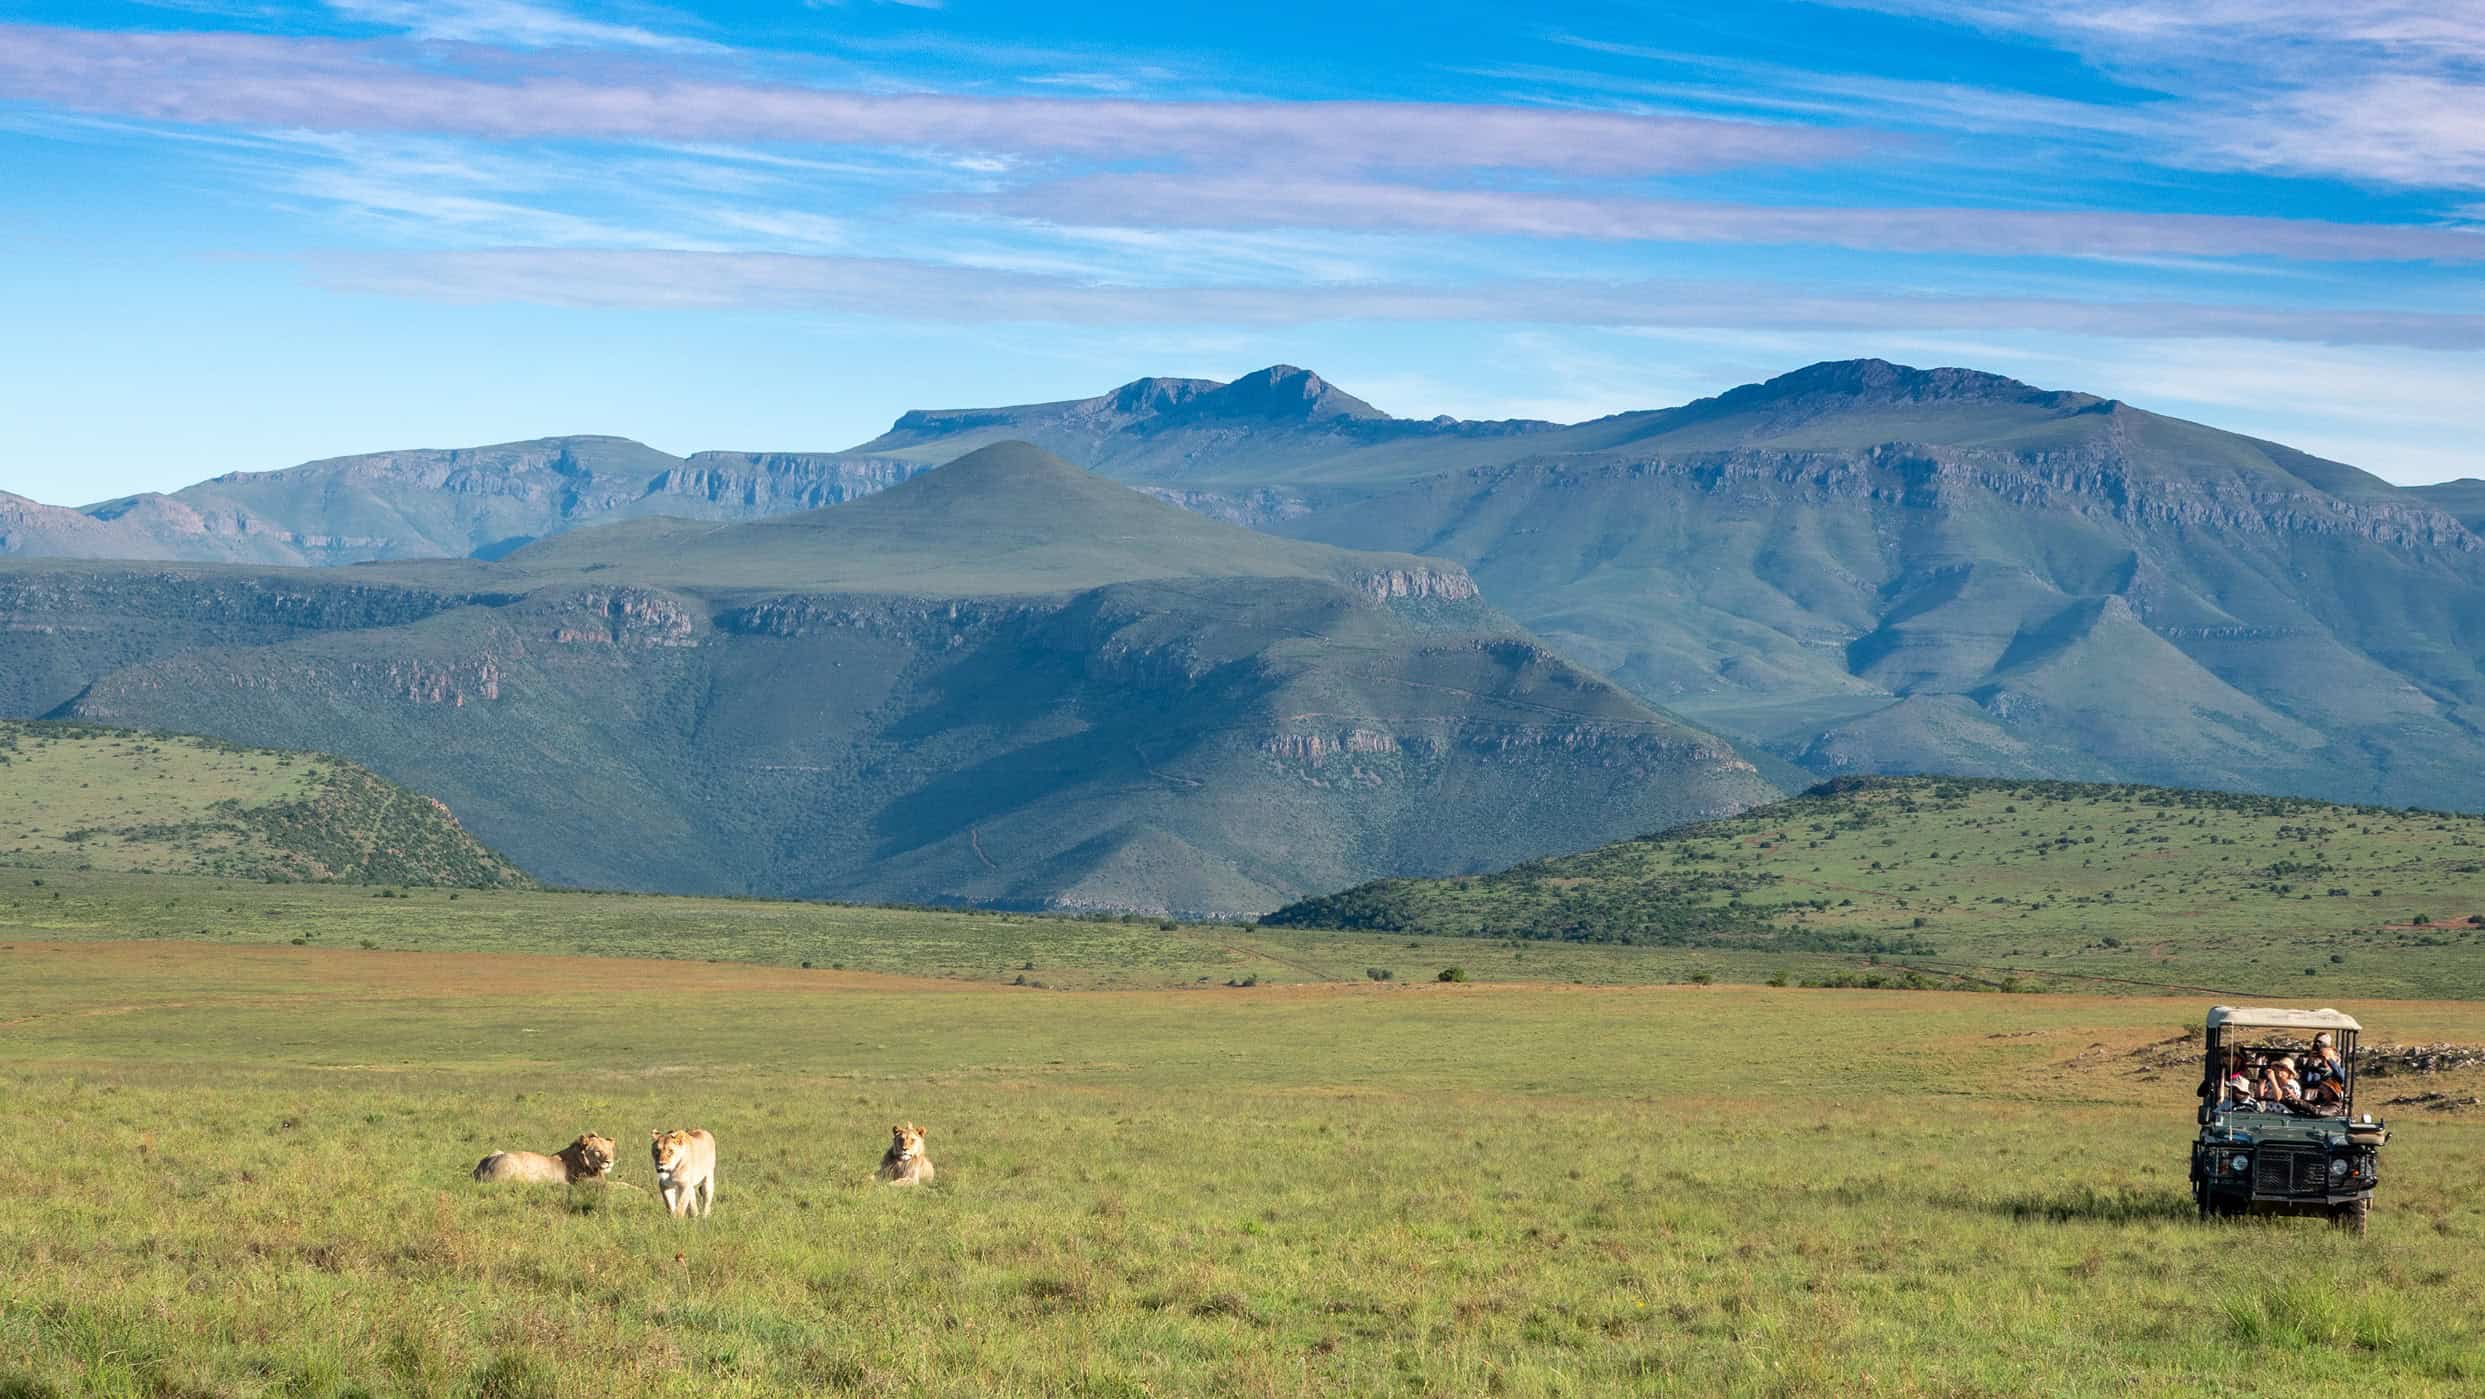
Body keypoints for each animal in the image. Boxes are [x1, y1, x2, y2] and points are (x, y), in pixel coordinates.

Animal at [472, 1133, 616, 1184]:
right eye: (598, 1152)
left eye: (610, 1151)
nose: (609, 1162)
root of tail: (481, 1169)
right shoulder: (587, 1184)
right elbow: (616, 1186)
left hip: (497, 1151)